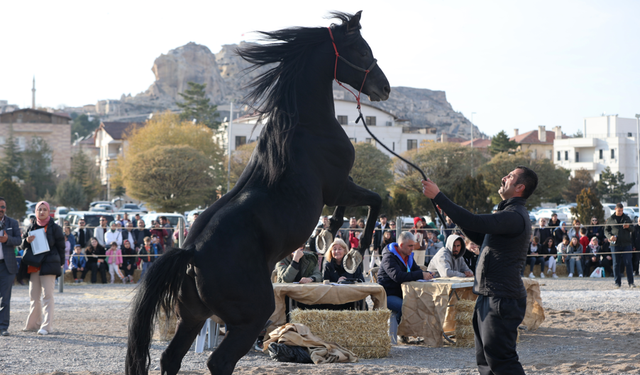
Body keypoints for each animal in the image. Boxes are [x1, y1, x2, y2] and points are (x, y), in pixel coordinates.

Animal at [126, 11, 390, 375]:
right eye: (363, 51)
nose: (385, 88)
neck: (306, 126)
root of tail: (191, 253)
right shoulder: (338, 186)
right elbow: (375, 201)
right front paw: (353, 253)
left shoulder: (339, 189)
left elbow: (350, 210)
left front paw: (325, 236)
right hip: (250, 317)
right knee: (219, 361)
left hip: (192, 316)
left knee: (171, 358)